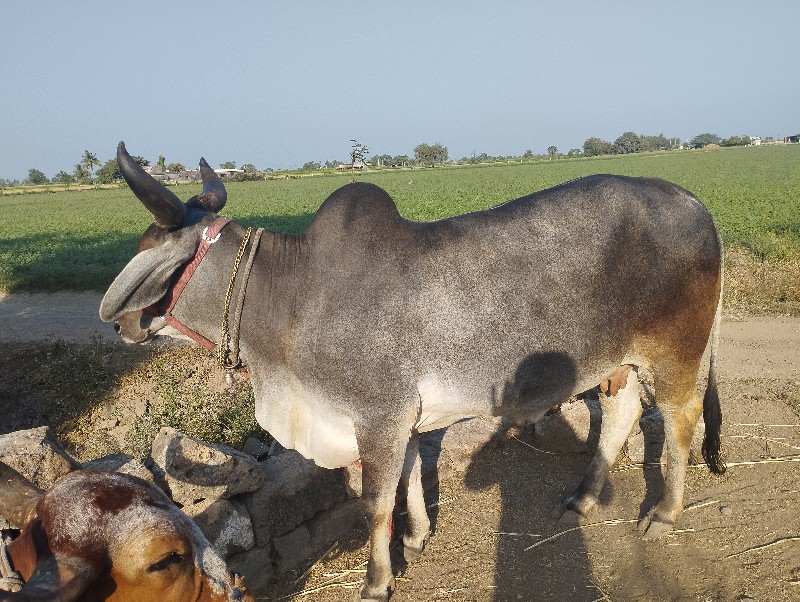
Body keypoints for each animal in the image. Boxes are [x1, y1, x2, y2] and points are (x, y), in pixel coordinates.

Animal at [100, 142, 724, 600]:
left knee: (680, 418)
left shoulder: (377, 415)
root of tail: (693, 201)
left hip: (676, 350)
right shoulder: (398, 418)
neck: (290, 300)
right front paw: (420, 536)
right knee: (623, 413)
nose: (121, 324)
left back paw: (664, 513)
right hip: (616, 362)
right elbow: (408, 475)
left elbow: (376, 503)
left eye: (149, 248)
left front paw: (377, 582)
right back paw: (584, 497)